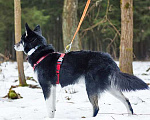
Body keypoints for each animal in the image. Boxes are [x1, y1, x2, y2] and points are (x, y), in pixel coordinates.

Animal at [14, 23, 148, 118]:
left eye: (21, 40)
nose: (14, 45)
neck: (39, 52)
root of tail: (109, 59)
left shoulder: (46, 86)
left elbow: (49, 107)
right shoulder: (52, 87)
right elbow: (52, 106)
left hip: (91, 87)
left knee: (96, 107)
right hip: (109, 86)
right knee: (126, 100)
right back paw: (130, 115)